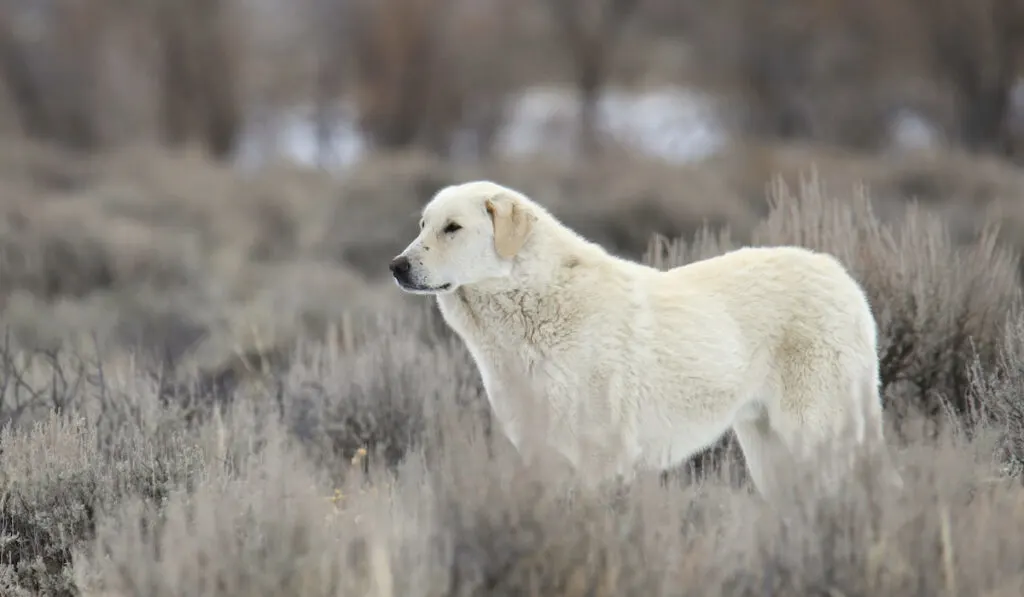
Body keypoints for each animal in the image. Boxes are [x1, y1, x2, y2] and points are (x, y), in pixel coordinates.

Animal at [387, 180, 901, 497]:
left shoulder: (601, 456)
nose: (396, 265)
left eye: (453, 228)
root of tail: (844, 279)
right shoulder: (541, 452)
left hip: (815, 431)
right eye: (422, 226)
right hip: (767, 445)